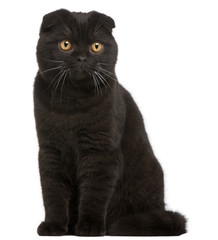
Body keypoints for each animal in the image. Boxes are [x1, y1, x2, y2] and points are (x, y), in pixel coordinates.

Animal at [33, 8, 186, 235]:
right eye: (65, 44)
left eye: (96, 46)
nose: (82, 57)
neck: (72, 104)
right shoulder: (50, 151)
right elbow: (52, 191)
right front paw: (53, 225)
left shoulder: (101, 151)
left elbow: (95, 192)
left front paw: (90, 227)